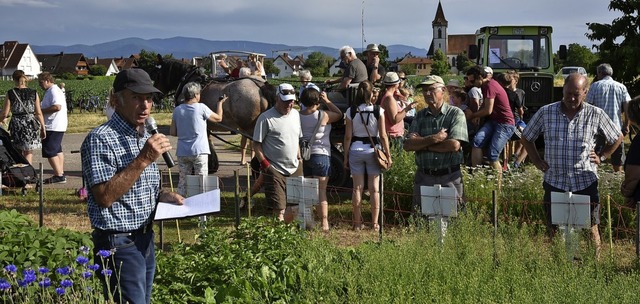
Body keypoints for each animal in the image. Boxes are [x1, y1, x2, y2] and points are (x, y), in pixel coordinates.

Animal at [145, 55, 276, 172]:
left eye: (156, 74)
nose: (154, 96)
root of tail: (261, 86)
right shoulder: (206, 124)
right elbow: (208, 141)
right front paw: (212, 164)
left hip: (249, 128)